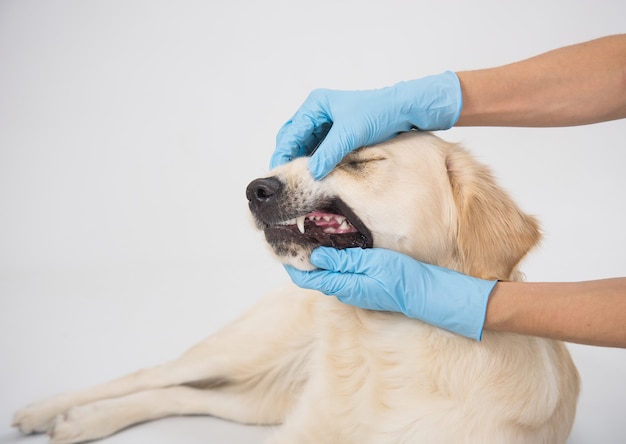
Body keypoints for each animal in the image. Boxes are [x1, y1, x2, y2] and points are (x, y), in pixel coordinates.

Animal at [11, 130, 576, 442]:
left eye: (358, 160)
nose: (253, 189)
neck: (388, 350)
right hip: (246, 350)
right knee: (154, 374)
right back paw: (51, 410)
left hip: (261, 399)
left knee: (184, 395)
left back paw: (82, 420)